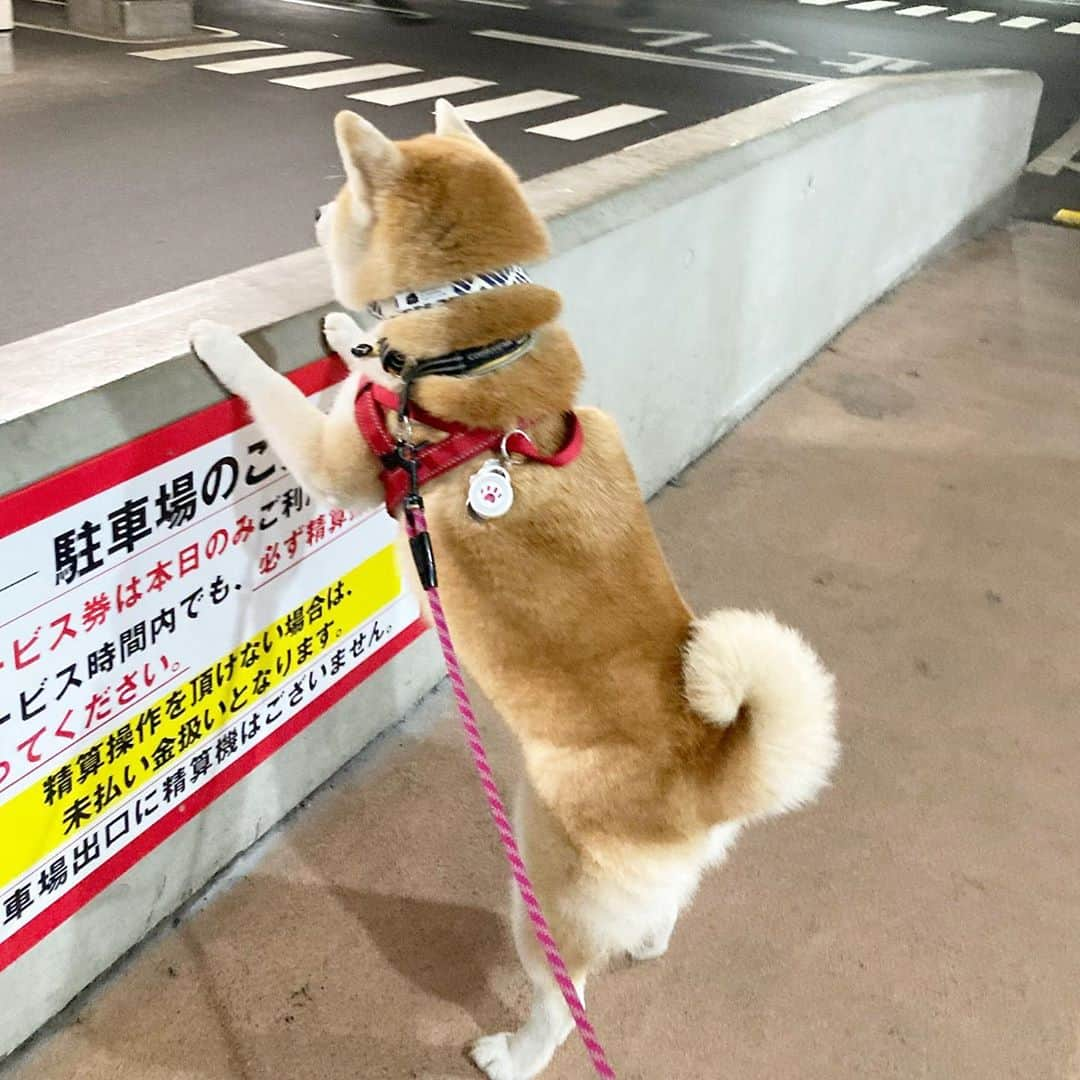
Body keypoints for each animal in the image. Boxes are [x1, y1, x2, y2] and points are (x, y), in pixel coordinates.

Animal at [190, 103, 838, 1080]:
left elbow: (279, 395)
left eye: (338, 199)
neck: (471, 350)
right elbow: (368, 362)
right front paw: (350, 334)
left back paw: (512, 1053)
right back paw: (648, 940)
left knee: (565, 1003)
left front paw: (224, 342)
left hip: (542, 889)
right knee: (657, 922)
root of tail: (711, 775)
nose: (309, 209)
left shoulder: (344, 460)